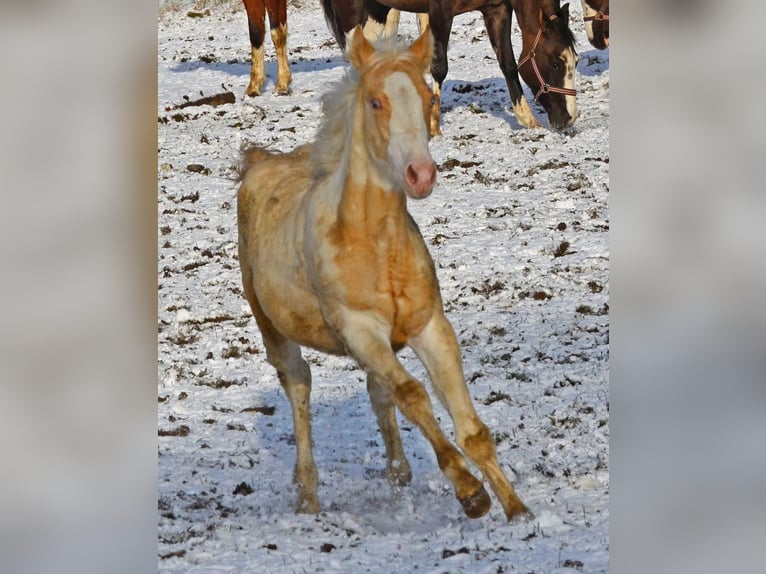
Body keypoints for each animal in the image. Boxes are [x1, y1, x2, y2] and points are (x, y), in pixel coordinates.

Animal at [237, 27, 531, 522]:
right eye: (375, 101)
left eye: (429, 98)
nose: (421, 174)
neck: (374, 244)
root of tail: (259, 162)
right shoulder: (360, 329)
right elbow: (413, 394)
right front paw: (471, 492)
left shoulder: (430, 326)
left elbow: (469, 425)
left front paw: (518, 511)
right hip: (272, 327)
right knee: (299, 383)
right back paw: (308, 495)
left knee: (377, 389)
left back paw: (397, 471)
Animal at [321, 0, 578, 134]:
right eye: (556, 63)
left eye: (576, 60)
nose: (569, 117)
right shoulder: (440, 12)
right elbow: (439, 68)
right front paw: (434, 125)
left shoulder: (497, 9)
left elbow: (508, 62)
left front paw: (526, 118)